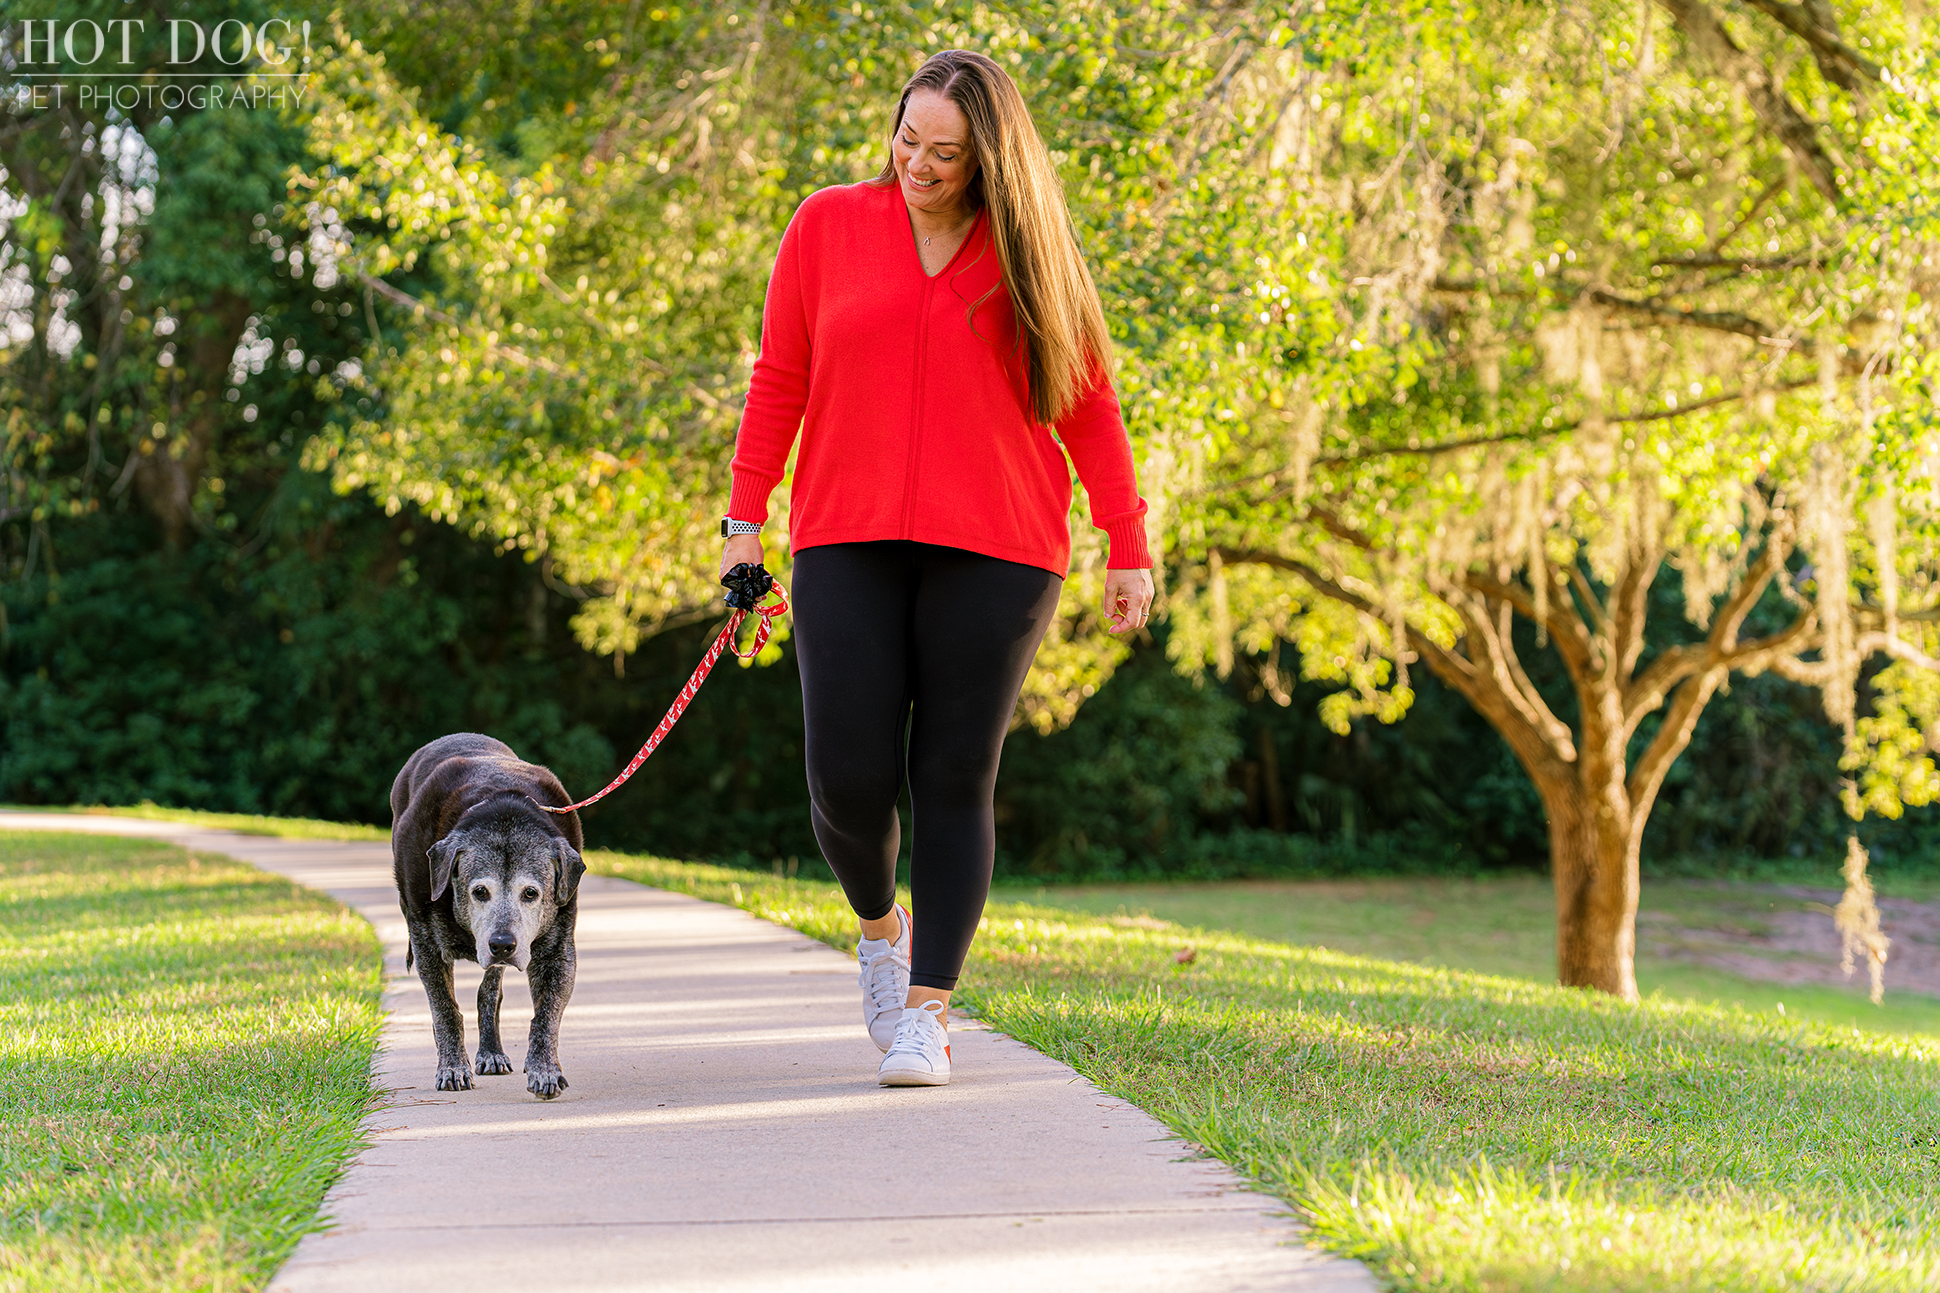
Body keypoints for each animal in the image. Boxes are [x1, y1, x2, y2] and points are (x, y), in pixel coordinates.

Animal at [386, 729, 582, 1094]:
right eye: (479, 891)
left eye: (531, 893)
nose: (502, 944)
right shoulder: (425, 939)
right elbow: (444, 1007)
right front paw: (452, 1067)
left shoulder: (558, 945)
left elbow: (547, 1010)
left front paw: (544, 1068)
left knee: (489, 991)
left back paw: (491, 1051)